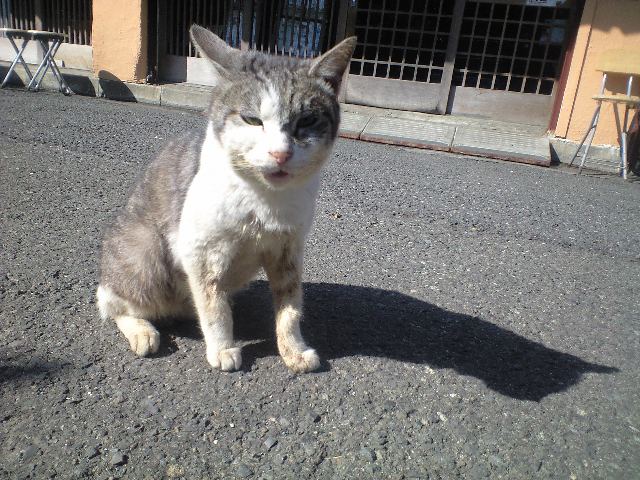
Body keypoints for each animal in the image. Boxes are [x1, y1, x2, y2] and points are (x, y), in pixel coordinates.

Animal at [96, 25, 356, 373]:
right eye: (252, 120)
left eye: (306, 122)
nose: (280, 153)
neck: (264, 200)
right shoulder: (201, 250)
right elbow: (213, 305)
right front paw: (221, 348)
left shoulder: (288, 250)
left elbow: (290, 307)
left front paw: (293, 349)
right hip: (144, 251)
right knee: (114, 302)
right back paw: (142, 331)